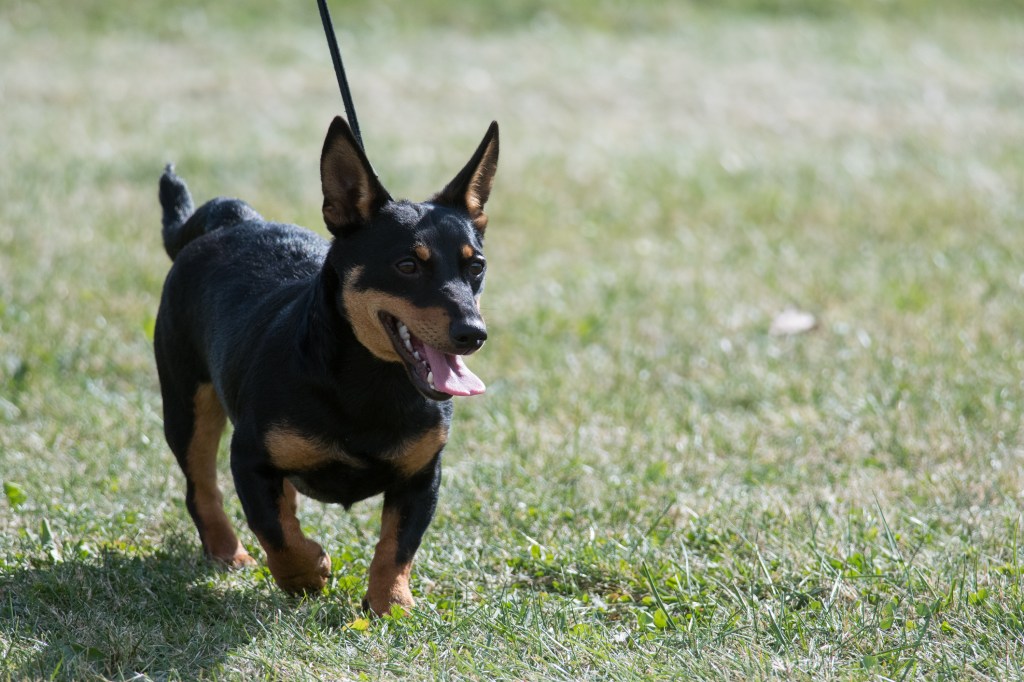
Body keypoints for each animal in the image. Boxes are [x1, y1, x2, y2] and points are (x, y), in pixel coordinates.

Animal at [152, 115, 499, 610]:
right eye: (407, 265)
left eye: (476, 266)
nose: (473, 333)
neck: (369, 382)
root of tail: (232, 219)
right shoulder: (249, 457)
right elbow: (276, 533)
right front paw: (309, 572)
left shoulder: (422, 476)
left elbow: (397, 545)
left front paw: (390, 604)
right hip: (187, 405)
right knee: (201, 487)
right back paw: (228, 552)